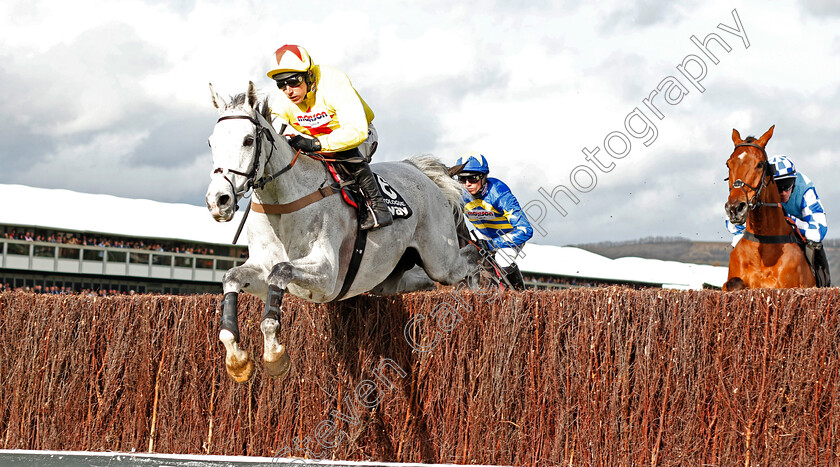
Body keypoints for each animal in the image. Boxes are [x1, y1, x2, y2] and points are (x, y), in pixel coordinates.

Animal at [204, 83, 480, 384]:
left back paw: (483, 279)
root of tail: (420, 172)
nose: (218, 200)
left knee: (469, 258)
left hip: (441, 260)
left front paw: (275, 356)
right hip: (390, 275)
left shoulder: (326, 275)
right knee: (414, 282)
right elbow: (232, 278)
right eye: (211, 142)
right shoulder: (260, 270)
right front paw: (238, 361)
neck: (281, 201)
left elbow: (281, 271)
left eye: (247, 140)